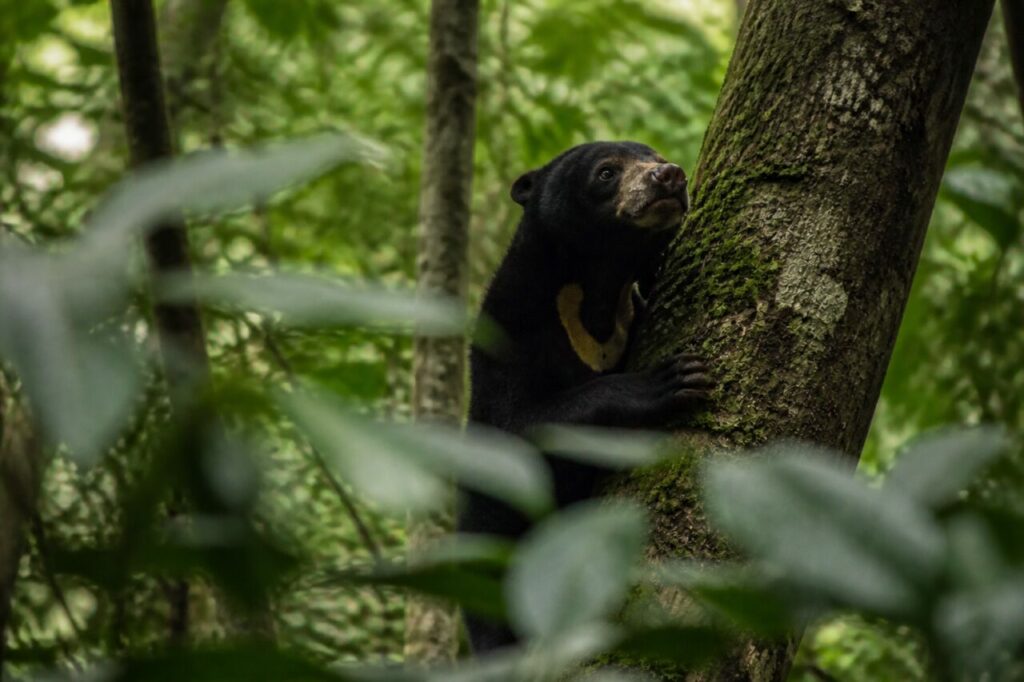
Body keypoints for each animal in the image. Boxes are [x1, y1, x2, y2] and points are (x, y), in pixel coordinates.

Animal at [459, 141, 713, 652]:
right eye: (606, 172)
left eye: (656, 156)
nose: (670, 176)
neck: (595, 283)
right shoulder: (508, 331)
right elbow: (521, 429)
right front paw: (671, 379)